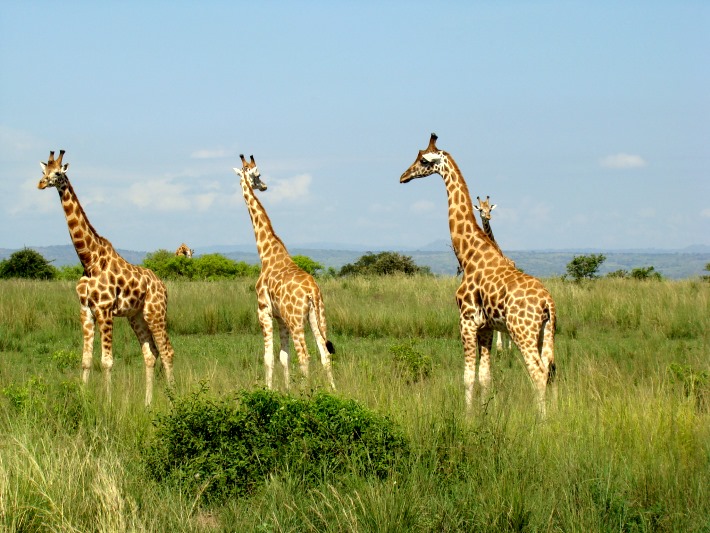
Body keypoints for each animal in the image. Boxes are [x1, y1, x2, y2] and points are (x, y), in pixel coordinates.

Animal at [38, 148, 175, 406]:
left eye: (58, 173)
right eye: (44, 171)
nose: (40, 183)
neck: (89, 260)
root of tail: (163, 286)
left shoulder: (105, 310)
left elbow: (107, 361)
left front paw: (108, 402)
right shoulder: (86, 310)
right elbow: (86, 360)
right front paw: (83, 398)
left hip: (155, 313)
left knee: (167, 351)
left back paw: (175, 400)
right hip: (136, 316)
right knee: (150, 354)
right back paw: (148, 403)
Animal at [232, 152, 336, 388]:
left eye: (258, 173)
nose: (264, 186)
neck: (267, 254)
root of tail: (312, 292)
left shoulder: (264, 311)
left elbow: (268, 357)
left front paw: (269, 390)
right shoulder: (280, 318)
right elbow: (283, 357)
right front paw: (287, 390)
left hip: (296, 320)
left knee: (305, 356)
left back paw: (308, 392)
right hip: (317, 316)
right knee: (324, 354)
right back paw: (334, 390)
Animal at [476, 195, 516, 354]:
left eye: (490, 209)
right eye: (481, 209)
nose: (488, 217)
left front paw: (500, 347)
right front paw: (497, 347)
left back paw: (509, 346)